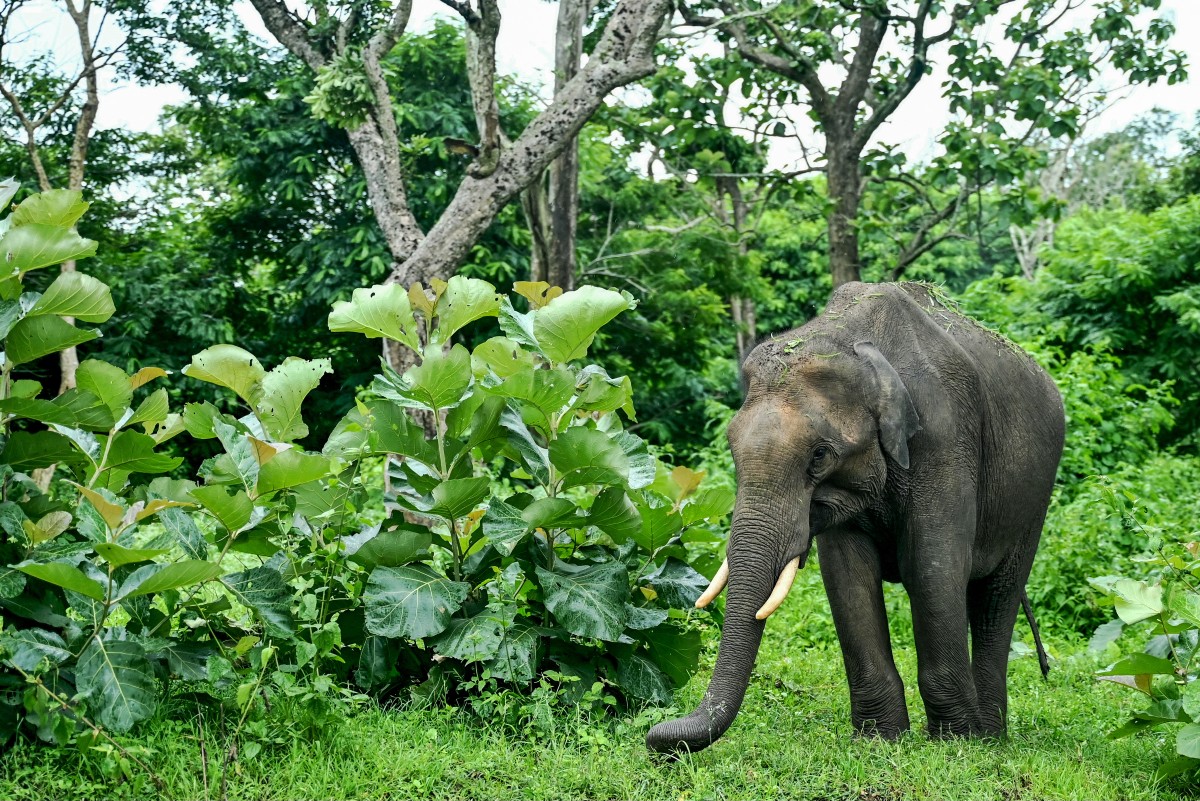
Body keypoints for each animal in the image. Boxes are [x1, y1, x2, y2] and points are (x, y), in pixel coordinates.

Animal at [643, 282, 1065, 757]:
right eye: (731, 448)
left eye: (819, 456)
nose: (657, 739)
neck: (852, 342)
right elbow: (847, 575)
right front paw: (880, 740)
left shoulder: (945, 437)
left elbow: (932, 568)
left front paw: (956, 743)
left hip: (1035, 496)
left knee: (997, 595)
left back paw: (990, 738)